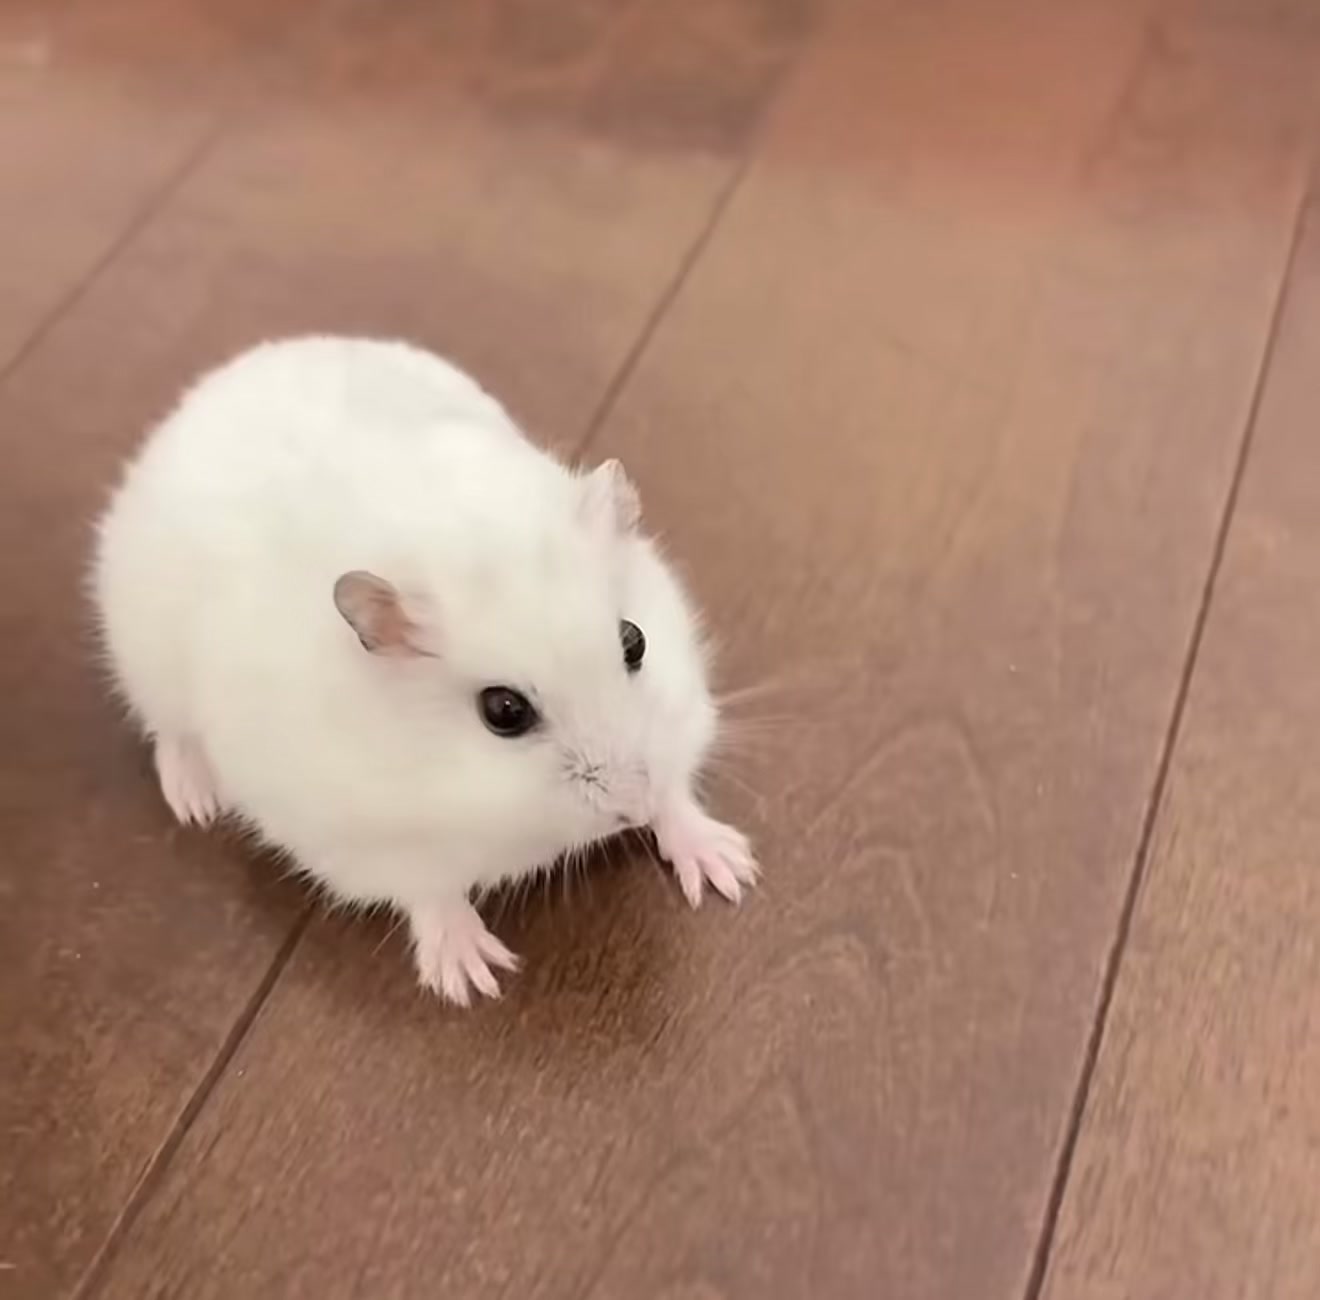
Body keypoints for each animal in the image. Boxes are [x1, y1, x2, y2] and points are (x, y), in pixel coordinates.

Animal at [91, 337, 757, 1004]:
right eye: (503, 711)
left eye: (634, 641)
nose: (632, 810)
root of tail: (220, 380)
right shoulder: (355, 839)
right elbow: (427, 888)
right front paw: (475, 979)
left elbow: (677, 795)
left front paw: (733, 871)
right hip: (145, 661)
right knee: (170, 737)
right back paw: (198, 802)